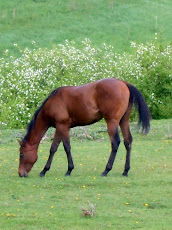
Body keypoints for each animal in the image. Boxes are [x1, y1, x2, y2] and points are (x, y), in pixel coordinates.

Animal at [17, 78, 150, 177]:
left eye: (22, 154)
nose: (21, 173)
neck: (52, 102)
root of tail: (124, 83)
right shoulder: (60, 128)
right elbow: (53, 148)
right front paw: (44, 170)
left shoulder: (63, 126)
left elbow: (66, 147)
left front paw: (69, 169)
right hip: (124, 121)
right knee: (128, 141)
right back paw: (125, 171)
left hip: (112, 122)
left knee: (115, 143)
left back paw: (106, 170)